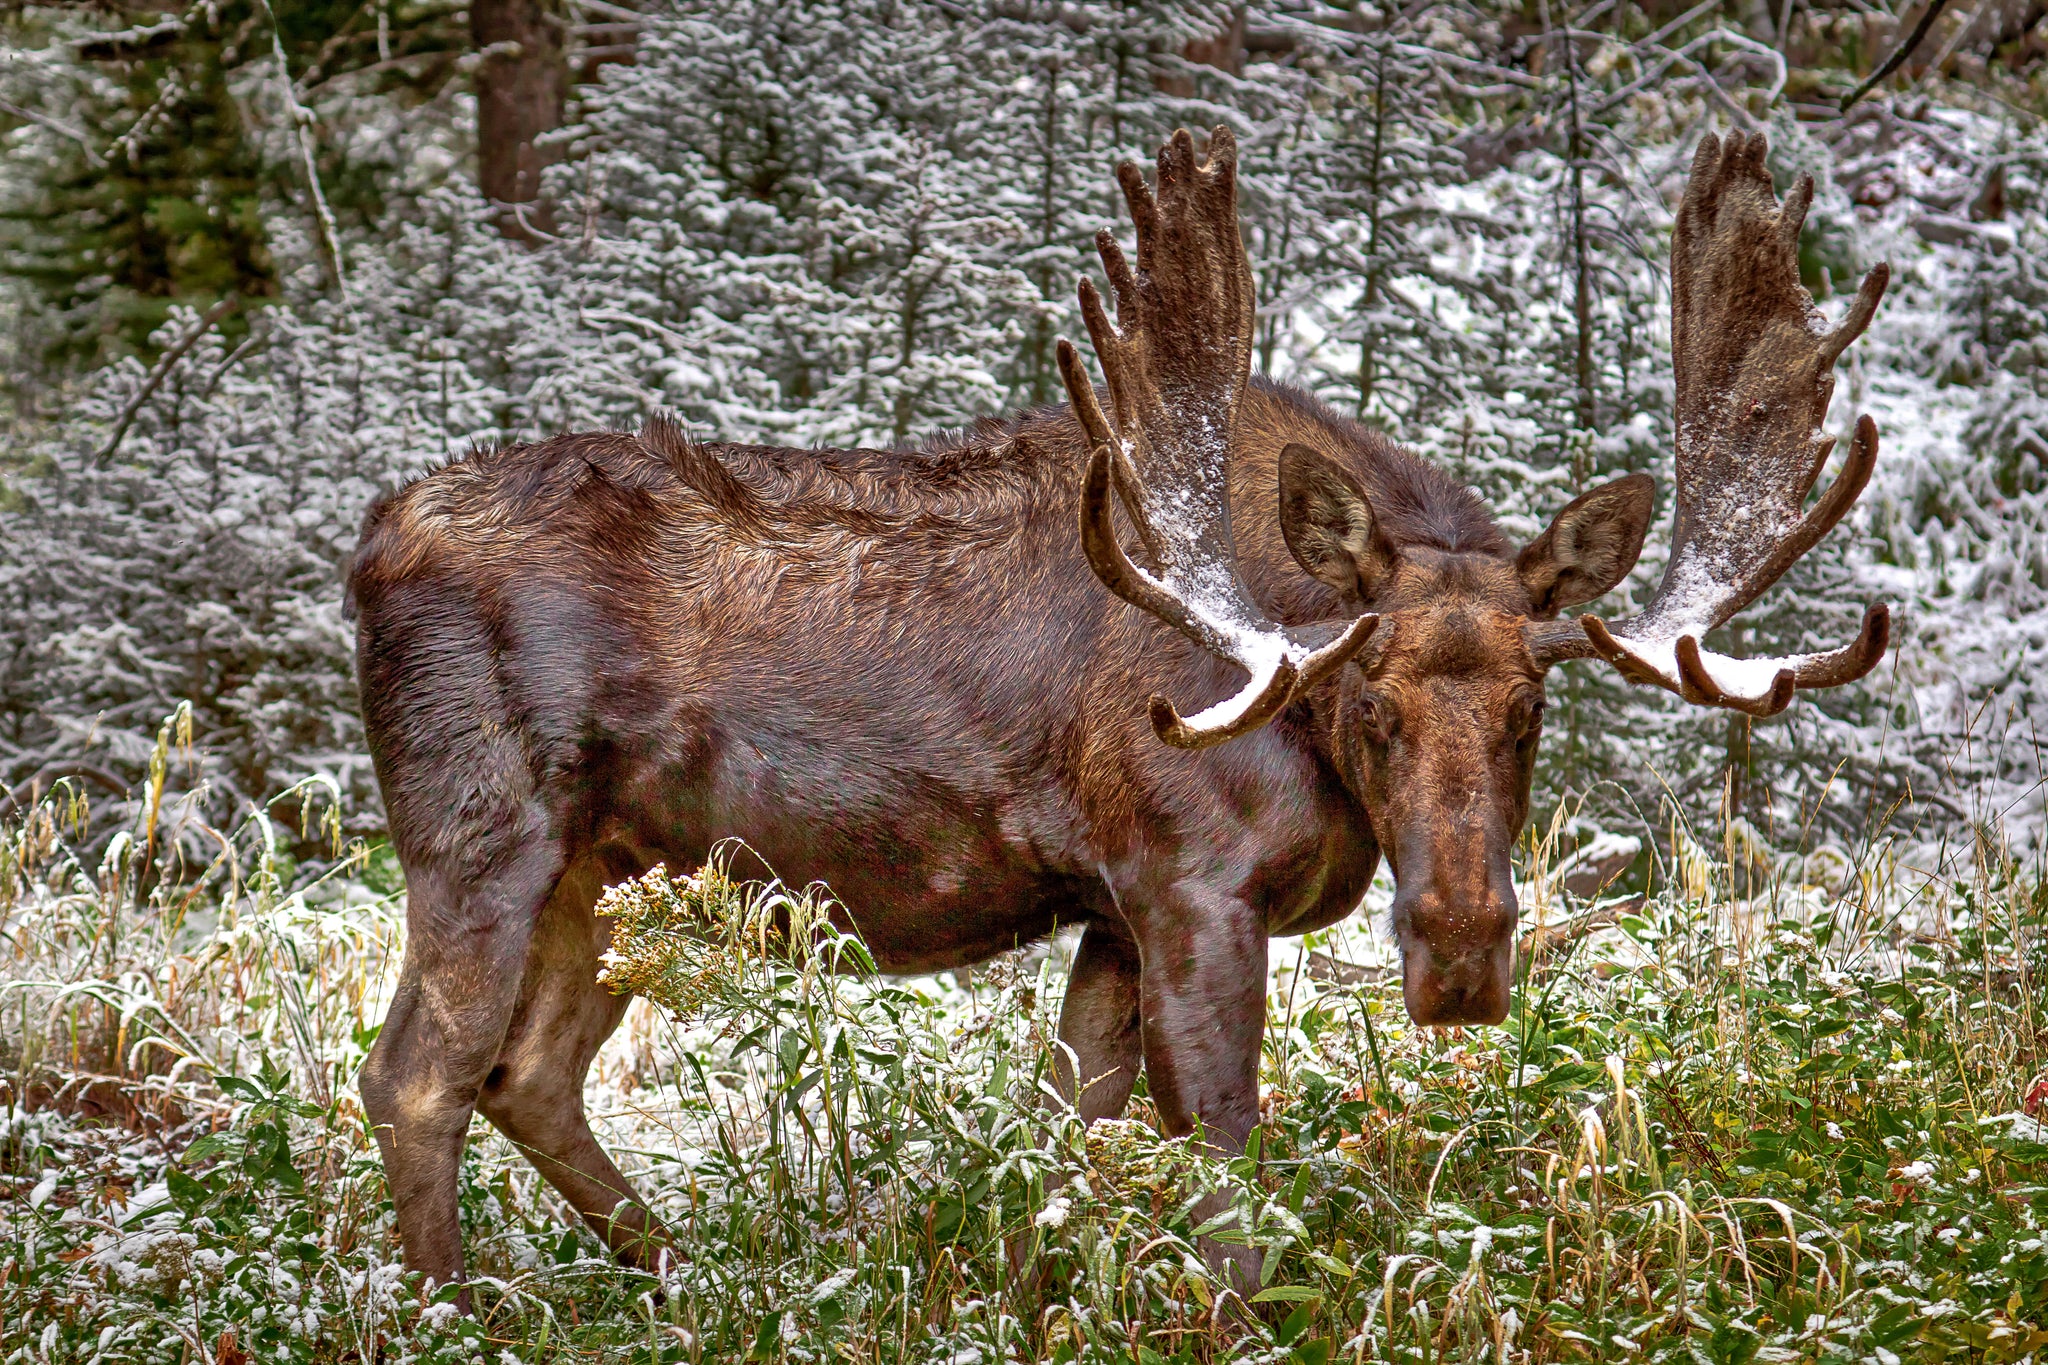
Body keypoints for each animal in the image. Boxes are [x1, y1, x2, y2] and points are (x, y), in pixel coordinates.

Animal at [348, 127, 1884, 1301]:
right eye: (1369, 697)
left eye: (1530, 701)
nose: (1459, 950)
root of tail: (368, 547)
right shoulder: (1186, 877)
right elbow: (1219, 1148)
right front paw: (1239, 1311)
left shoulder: (1103, 903)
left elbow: (1065, 1132)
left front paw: (1033, 1295)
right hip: (482, 833)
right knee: (418, 1075)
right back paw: (447, 1309)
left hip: (613, 874)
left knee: (528, 1073)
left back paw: (686, 1278)